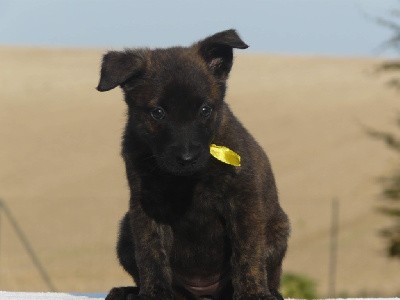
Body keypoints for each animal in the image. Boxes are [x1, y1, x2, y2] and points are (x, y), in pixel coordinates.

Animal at [97, 28, 290, 300]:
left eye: (205, 110)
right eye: (158, 112)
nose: (187, 158)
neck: (186, 180)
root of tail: (203, 293)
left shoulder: (243, 201)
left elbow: (248, 253)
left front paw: (253, 293)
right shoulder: (146, 205)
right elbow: (150, 253)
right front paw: (154, 293)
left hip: (278, 228)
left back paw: (271, 291)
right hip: (125, 230)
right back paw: (128, 291)